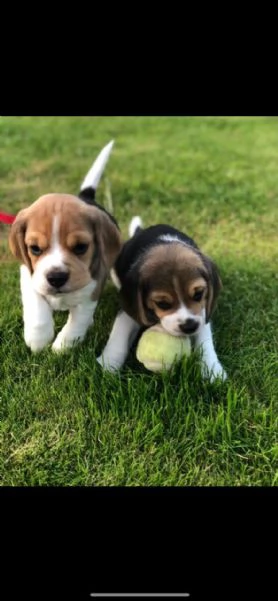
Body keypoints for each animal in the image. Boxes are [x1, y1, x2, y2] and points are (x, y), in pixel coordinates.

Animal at [8, 139, 121, 352]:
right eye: (35, 248)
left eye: (81, 247)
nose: (56, 278)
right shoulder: (28, 275)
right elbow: (36, 306)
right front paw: (38, 338)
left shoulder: (92, 289)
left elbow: (79, 319)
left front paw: (64, 345)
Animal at [97, 216, 226, 380]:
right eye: (162, 303)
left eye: (198, 294)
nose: (189, 326)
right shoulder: (129, 310)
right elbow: (119, 334)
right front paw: (109, 363)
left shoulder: (202, 314)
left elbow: (205, 340)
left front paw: (212, 369)